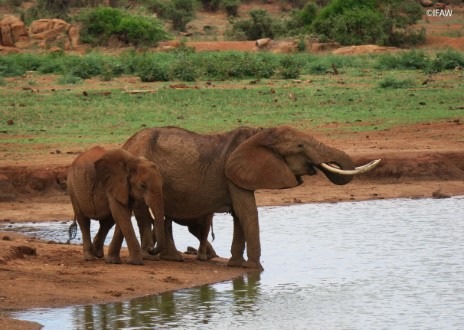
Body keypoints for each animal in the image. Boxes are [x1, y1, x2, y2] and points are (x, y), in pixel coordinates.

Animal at [123, 125, 380, 270]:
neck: (259, 135)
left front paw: (237, 265)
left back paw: (172, 258)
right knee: (147, 216)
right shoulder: (232, 174)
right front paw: (258, 270)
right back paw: (157, 257)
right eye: (299, 145)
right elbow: (247, 211)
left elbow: (240, 215)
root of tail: (127, 143)